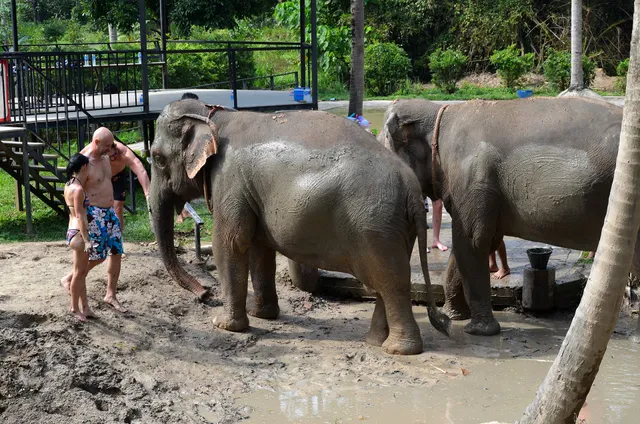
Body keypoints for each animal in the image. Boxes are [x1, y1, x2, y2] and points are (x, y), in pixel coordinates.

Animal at [147, 98, 450, 355]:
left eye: (158, 158)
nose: (204, 293)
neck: (214, 115)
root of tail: (411, 189)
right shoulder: (250, 194)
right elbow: (259, 249)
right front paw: (261, 315)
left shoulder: (229, 182)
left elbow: (231, 243)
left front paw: (223, 325)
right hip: (395, 227)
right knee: (386, 281)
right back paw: (375, 341)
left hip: (376, 225)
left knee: (390, 282)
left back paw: (397, 350)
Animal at [379, 97, 640, 337]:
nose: (439, 322)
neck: (437, 114)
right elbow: (468, 245)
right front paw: (454, 317)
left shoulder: (473, 179)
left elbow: (472, 242)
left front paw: (479, 330)